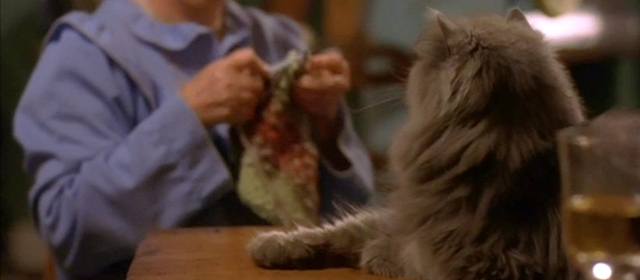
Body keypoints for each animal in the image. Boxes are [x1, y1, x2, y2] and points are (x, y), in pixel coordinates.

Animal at [248, 7, 588, 278]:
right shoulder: (408, 214)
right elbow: (346, 226)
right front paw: (273, 244)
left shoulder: (477, 258)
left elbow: (399, 250)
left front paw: (375, 254)